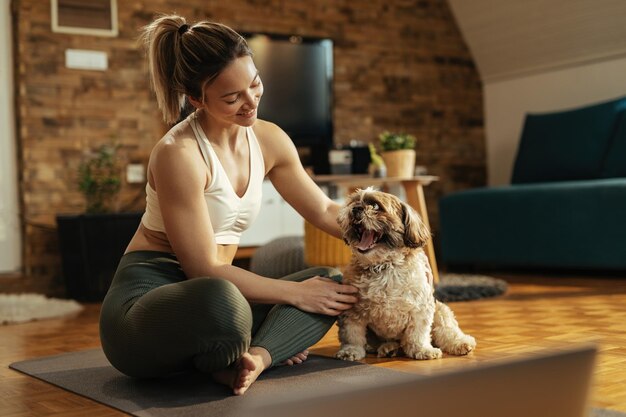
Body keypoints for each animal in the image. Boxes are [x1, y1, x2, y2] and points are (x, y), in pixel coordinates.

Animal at [336, 187, 472, 360]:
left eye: (375, 206)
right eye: (353, 202)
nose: (356, 209)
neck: (384, 265)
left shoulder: (421, 307)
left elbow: (418, 334)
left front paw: (422, 350)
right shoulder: (352, 310)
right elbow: (352, 334)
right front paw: (351, 351)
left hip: (440, 310)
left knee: (446, 330)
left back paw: (460, 343)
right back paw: (389, 348)